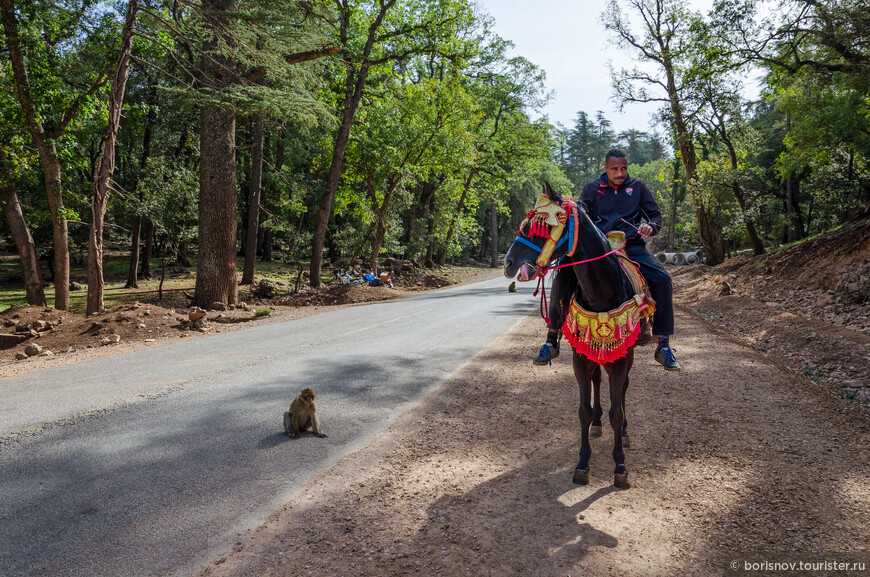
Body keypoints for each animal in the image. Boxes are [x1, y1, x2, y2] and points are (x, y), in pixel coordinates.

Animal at [500, 182, 652, 488]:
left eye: (540, 226)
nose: (508, 263)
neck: (603, 291)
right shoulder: (580, 358)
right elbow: (583, 410)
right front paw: (583, 463)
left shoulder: (620, 358)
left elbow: (617, 411)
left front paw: (620, 466)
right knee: (597, 382)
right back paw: (597, 424)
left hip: (627, 354)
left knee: (624, 391)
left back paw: (625, 432)